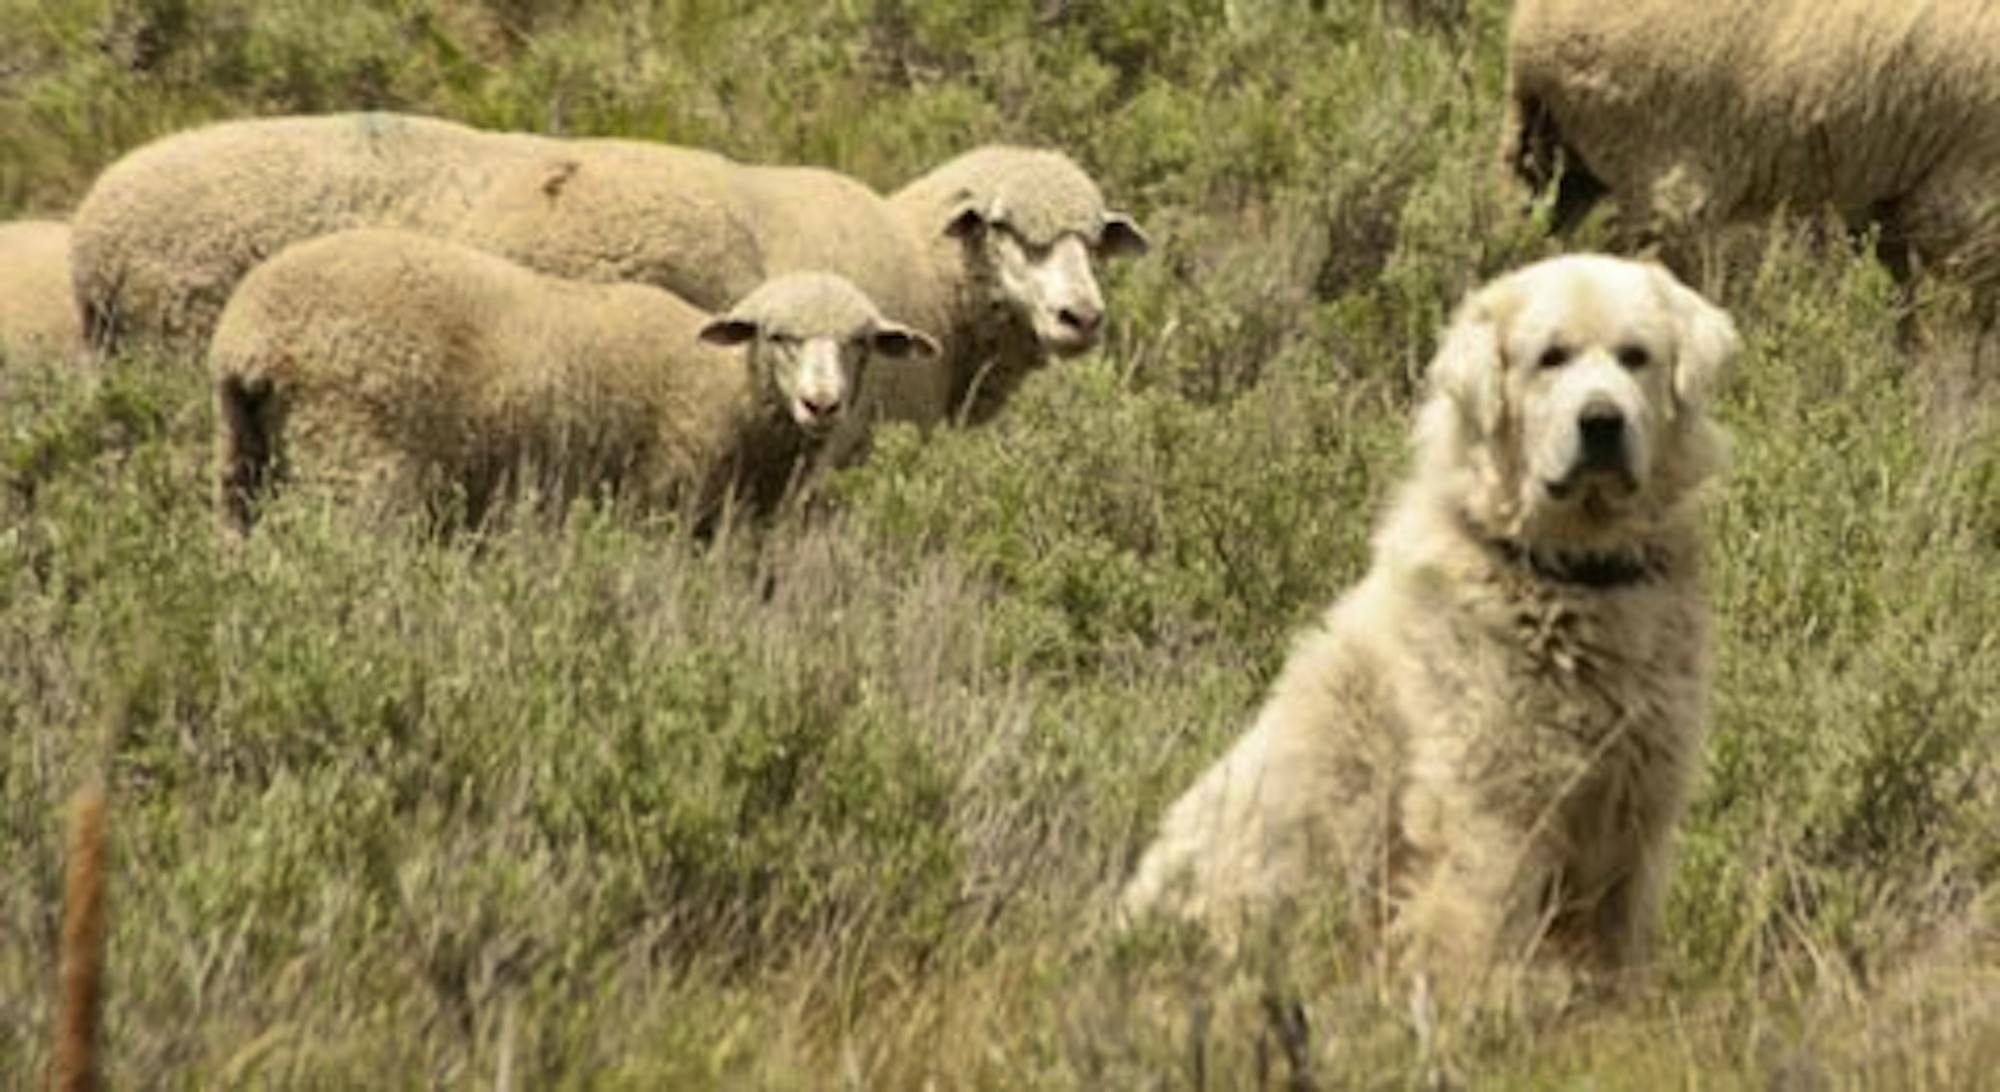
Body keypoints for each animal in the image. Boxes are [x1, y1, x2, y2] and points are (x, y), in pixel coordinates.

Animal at [211, 227, 936, 532]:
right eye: (778, 337)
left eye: (861, 343)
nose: (823, 404)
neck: (725, 388)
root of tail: (250, 336)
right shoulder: (661, 508)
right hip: (354, 463)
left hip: (241, 458)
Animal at [1120, 255, 1744, 996]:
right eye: (1551, 357)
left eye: (1635, 356)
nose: (1601, 421)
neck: (1567, 571)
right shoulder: (1487, 803)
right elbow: (1476, 928)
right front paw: (1476, 1011)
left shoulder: (1635, 802)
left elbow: (1619, 943)